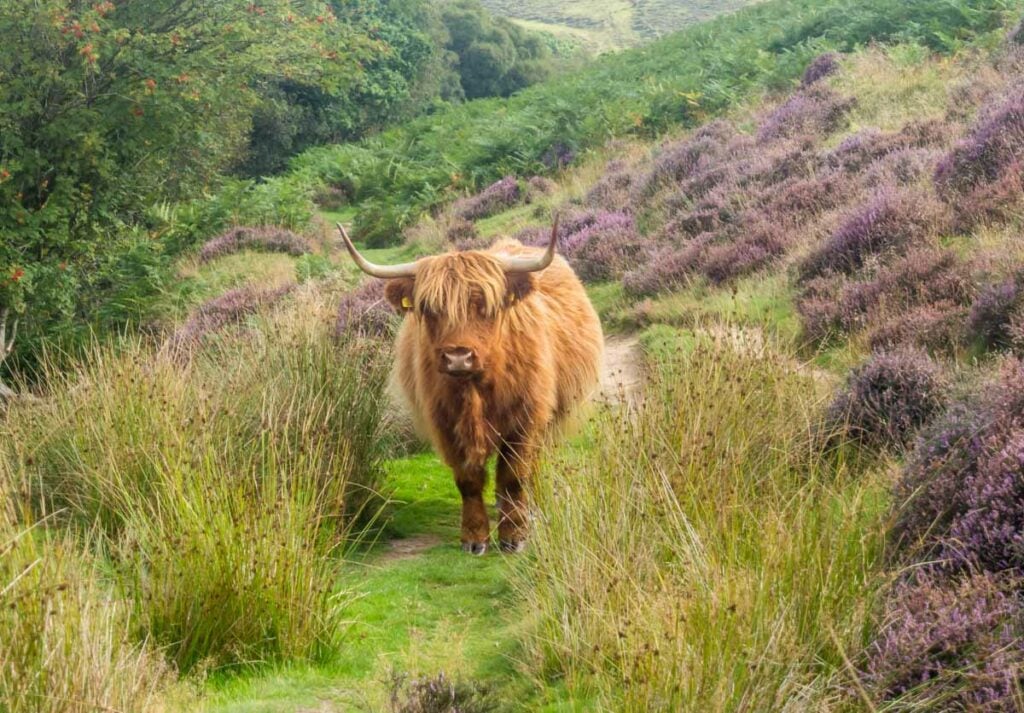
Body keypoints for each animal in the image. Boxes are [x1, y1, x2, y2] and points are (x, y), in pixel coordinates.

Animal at [339, 220, 602, 553]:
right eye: (430, 308)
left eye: (483, 306)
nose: (458, 357)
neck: (475, 392)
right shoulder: (446, 424)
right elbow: (468, 481)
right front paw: (475, 538)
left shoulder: (525, 420)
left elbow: (514, 477)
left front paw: (514, 536)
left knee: (530, 468)